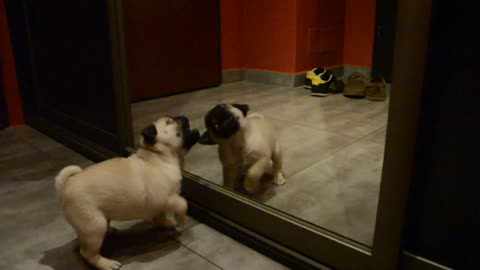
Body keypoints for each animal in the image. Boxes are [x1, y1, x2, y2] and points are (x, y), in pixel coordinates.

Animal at [54, 116, 199, 270]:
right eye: (171, 122)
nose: (183, 117)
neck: (160, 157)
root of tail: (66, 185)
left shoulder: (158, 205)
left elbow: (159, 215)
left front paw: (165, 223)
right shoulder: (165, 198)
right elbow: (182, 203)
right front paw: (181, 218)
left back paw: (110, 231)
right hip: (94, 225)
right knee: (87, 253)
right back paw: (105, 263)